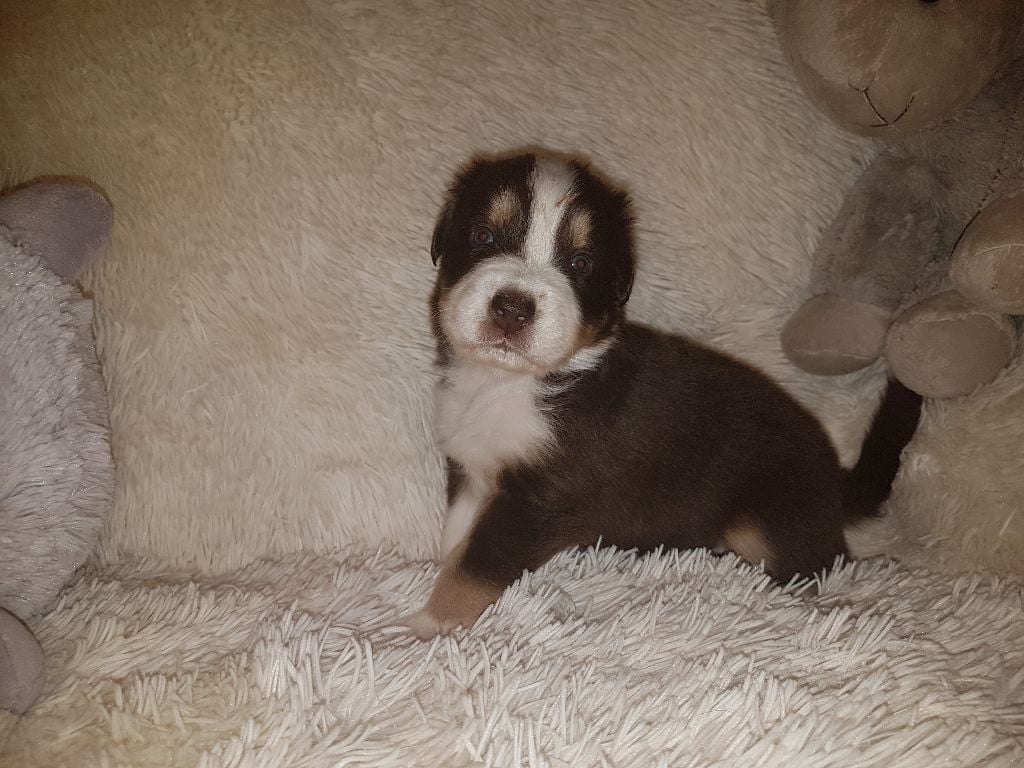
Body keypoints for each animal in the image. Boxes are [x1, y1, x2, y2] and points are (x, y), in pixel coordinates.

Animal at [402, 151, 922, 640]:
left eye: (581, 263)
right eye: (483, 236)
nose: (512, 308)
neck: (506, 383)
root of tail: (834, 475)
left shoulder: (539, 499)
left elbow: (476, 565)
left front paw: (428, 627)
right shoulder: (468, 466)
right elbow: (457, 535)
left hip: (767, 520)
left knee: (816, 565)